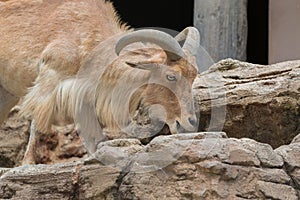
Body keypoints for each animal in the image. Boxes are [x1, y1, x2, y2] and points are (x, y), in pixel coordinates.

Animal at [0, 0, 202, 162]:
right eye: (171, 76)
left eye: (193, 77)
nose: (190, 122)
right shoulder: (50, 76)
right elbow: (37, 123)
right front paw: (27, 163)